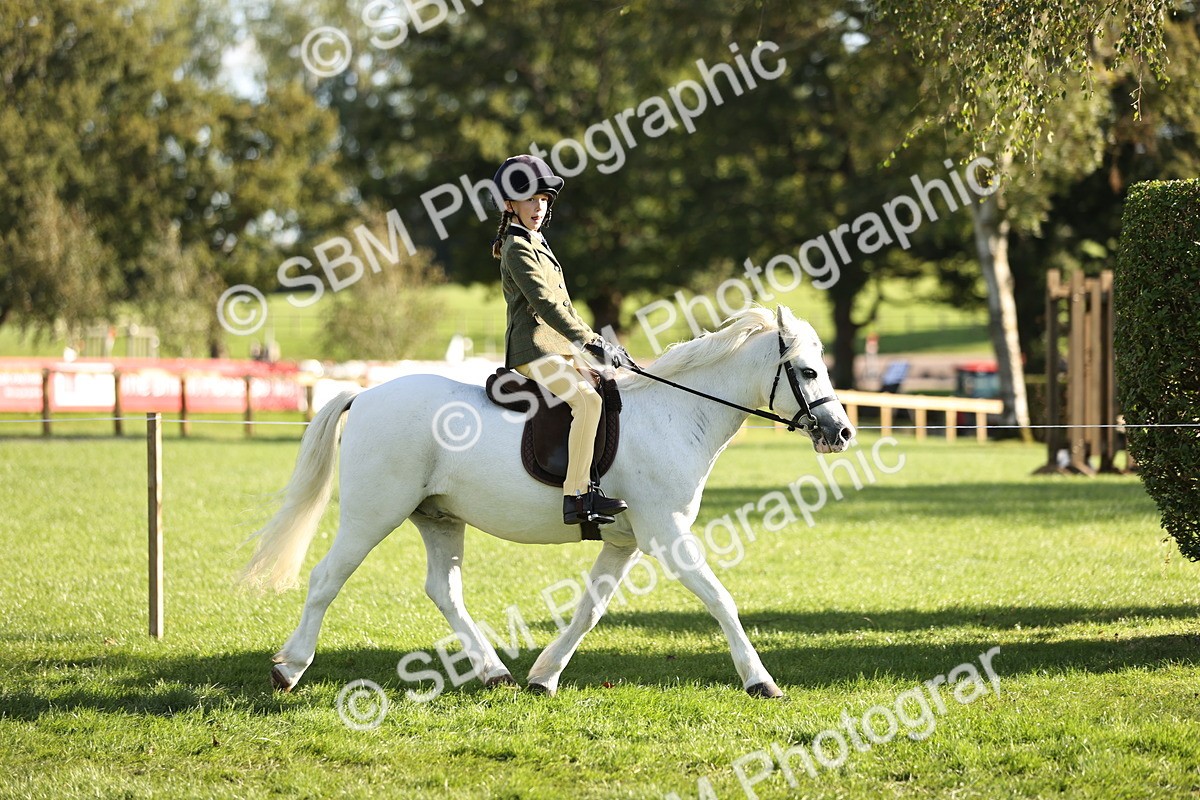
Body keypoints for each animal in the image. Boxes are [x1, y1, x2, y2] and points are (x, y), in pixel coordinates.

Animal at [244, 305, 856, 698]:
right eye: (807, 370)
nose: (842, 432)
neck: (677, 415)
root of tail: (366, 393)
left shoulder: (626, 542)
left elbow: (589, 610)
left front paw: (544, 676)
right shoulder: (668, 535)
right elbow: (722, 600)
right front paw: (761, 681)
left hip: (438, 518)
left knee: (444, 590)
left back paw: (495, 674)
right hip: (373, 515)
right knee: (326, 578)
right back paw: (289, 670)